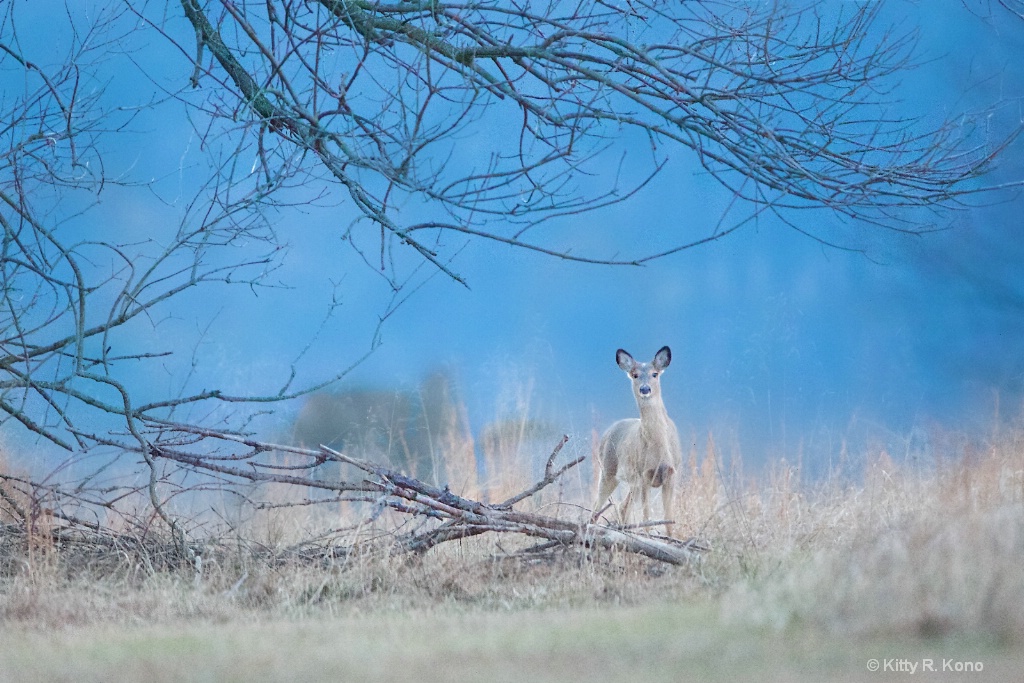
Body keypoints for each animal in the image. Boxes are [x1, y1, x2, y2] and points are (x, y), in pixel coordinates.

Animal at [593, 350, 679, 536]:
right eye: (635, 375)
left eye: (655, 374)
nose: (645, 389)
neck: (659, 449)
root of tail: (606, 433)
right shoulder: (644, 474)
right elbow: (646, 518)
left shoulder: (671, 474)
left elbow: (669, 521)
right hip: (609, 470)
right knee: (596, 506)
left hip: (633, 483)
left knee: (622, 507)